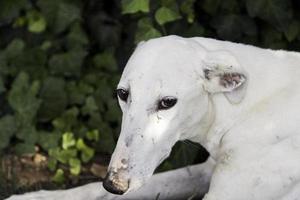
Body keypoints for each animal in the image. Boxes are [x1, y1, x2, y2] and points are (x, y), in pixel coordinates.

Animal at [7, 36, 300, 200]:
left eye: (167, 102)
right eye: (122, 94)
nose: (114, 183)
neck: (246, 106)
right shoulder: (204, 171)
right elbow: (93, 191)